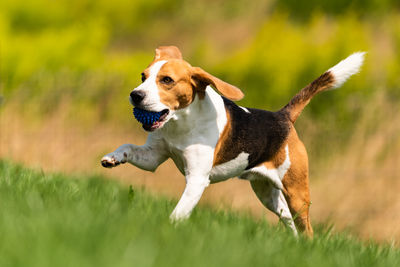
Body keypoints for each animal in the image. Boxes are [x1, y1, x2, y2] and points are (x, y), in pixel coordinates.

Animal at [101, 46, 364, 237]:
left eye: (166, 80)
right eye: (143, 77)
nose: (135, 95)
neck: (181, 122)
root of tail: (283, 116)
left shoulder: (197, 180)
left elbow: (179, 212)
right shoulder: (153, 157)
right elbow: (128, 148)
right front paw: (112, 158)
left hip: (297, 193)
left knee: (307, 229)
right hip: (267, 193)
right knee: (287, 219)